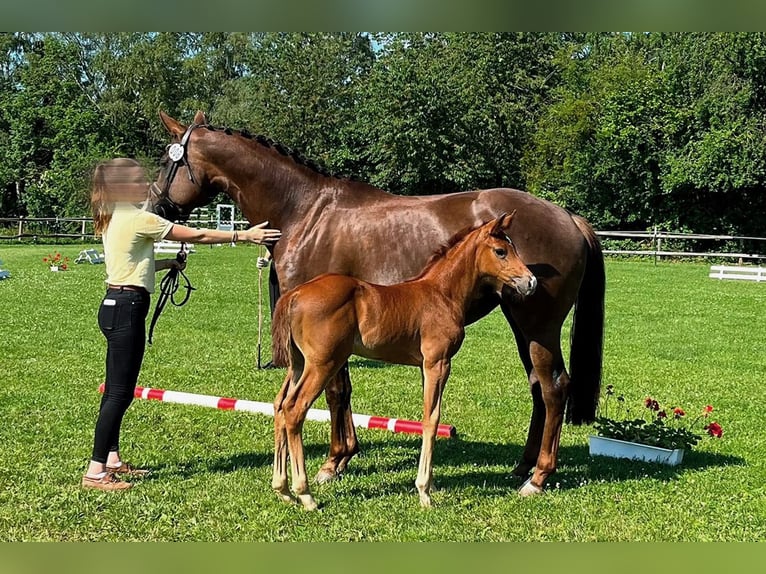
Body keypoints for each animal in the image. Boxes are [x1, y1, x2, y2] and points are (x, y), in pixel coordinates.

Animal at [271, 213, 536, 509]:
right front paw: (424, 492)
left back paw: (283, 490)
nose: (531, 282)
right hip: (322, 364)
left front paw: (430, 486)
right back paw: (305, 494)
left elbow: (428, 414)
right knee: (294, 409)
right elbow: (431, 419)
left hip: (298, 364)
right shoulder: (438, 363)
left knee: (280, 405)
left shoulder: (425, 366)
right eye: (501, 251)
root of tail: (295, 294)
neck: (442, 294)